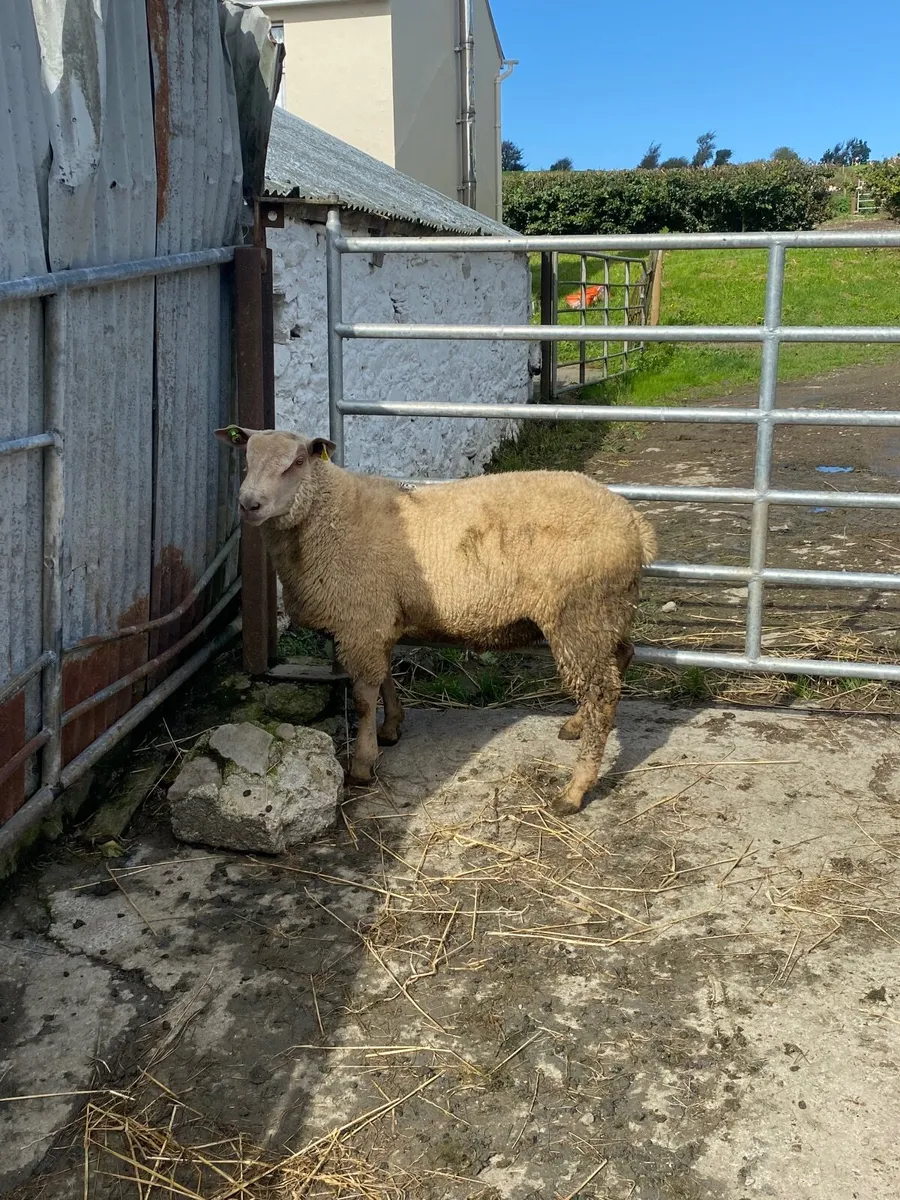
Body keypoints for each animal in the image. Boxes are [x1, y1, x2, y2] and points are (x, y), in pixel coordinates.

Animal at [216, 426, 657, 815]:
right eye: (246, 457)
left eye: (297, 461)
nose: (249, 503)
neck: (329, 515)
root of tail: (634, 523)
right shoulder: (380, 619)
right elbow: (385, 679)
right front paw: (391, 728)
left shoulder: (362, 621)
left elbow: (362, 698)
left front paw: (362, 763)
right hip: (607, 611)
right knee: (621, 660)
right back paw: (577, 725)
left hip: (579, 613)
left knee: (601, 692)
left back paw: (574, 790)